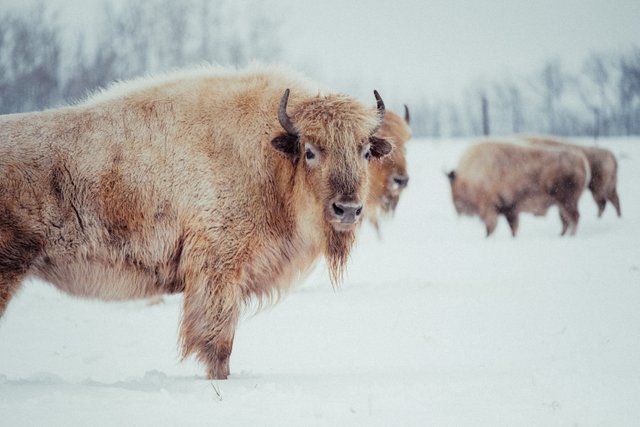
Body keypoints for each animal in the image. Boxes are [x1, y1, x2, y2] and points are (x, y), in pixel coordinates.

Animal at [0, 66, 392, 382]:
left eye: (365, 151)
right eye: (310, 151)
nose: (347, 209)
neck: (270, 159)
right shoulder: (218, 271)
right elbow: (218, 342)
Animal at [450, 141, 592, 237]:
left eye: (454, 191)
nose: (457, 208)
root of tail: (581, 160)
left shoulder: (492, 208)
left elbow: (492, 227)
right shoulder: (510, 209)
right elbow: (512, 227)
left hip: (567, 201)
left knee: (574, 218)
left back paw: (570, 236)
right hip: (562, 204)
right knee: (567, 220)